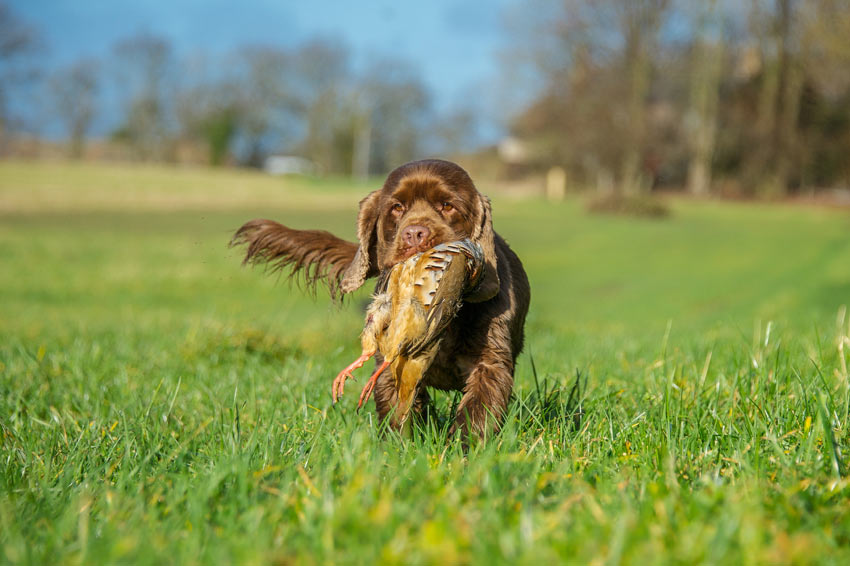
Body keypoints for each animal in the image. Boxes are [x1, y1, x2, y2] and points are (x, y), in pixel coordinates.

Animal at [229, 162, 528, 442]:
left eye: (447, 205)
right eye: (397, 207)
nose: (415, 233)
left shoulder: (489, 362)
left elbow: (478, 412)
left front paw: (464, 451)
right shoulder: (390, 355)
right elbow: (395, 410)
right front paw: (398, 450)